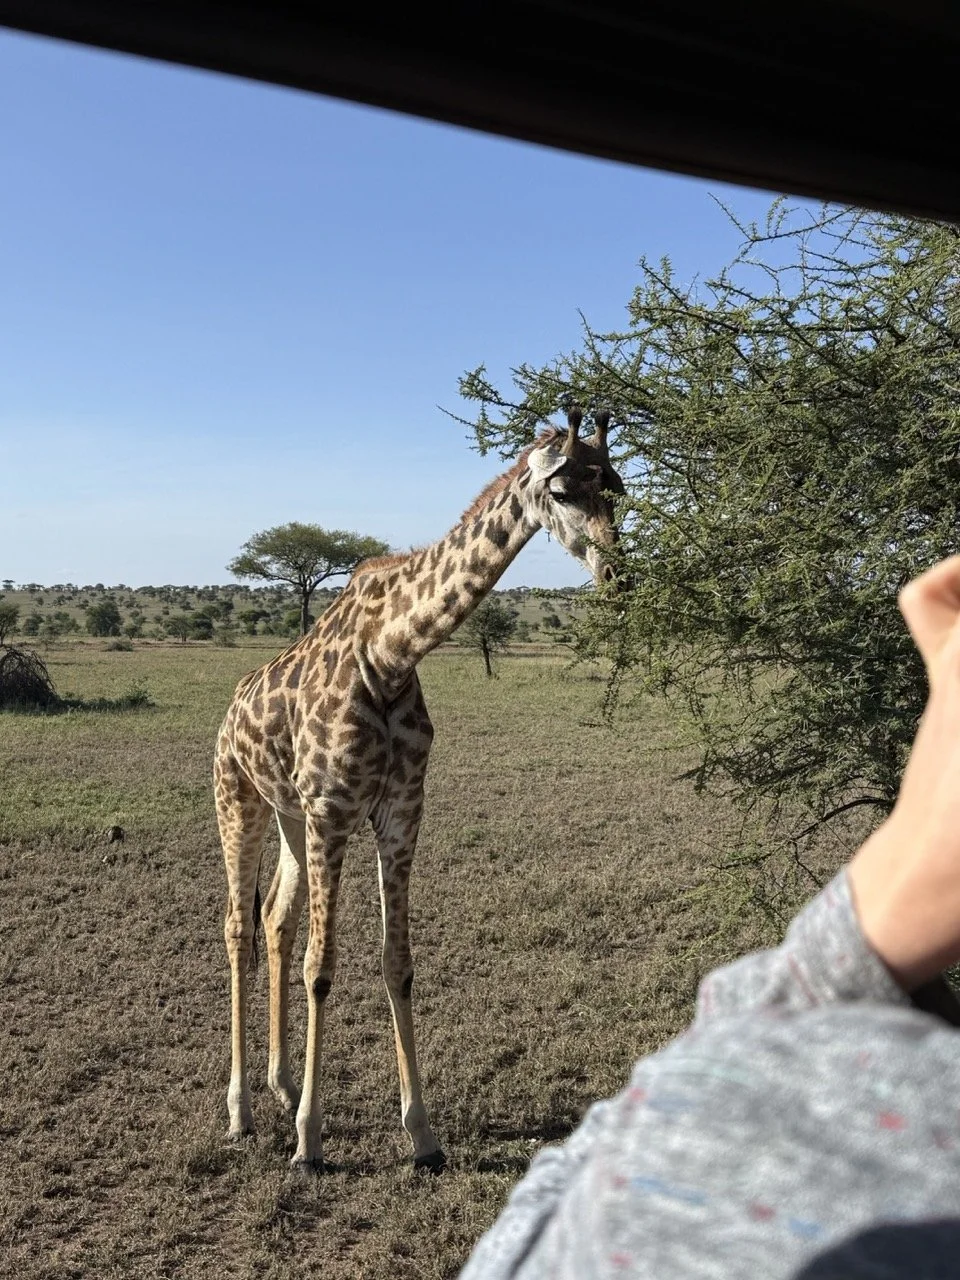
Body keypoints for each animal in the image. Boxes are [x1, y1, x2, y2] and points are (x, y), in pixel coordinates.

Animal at [215, 407, 625, 1173]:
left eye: (615, 489)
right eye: (562, 490)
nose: (617, 572)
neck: (391, 652)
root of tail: (230, 709)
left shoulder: (400, 812)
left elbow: (396, 963)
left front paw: (423, 1135)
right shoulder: (334, 809)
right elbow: (323, 966)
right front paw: (310, 1141)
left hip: (288, 814)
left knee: (275, 918)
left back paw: (279, 1086)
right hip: (240, 800)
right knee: (238, 929)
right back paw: (243, 1111)